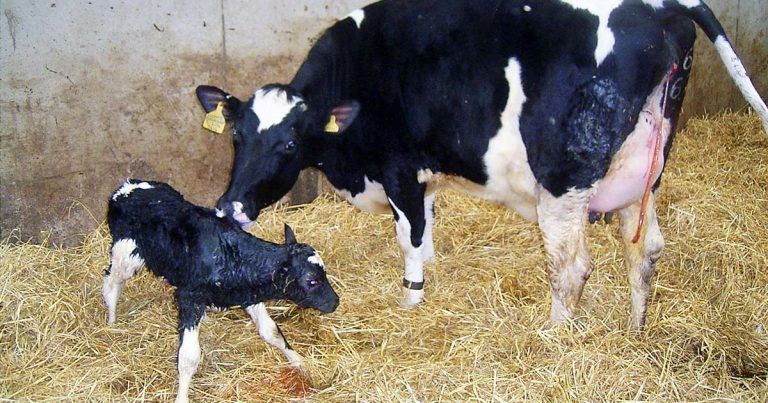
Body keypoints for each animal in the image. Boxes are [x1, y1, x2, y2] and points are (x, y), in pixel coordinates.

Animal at [102, 179, 339, 403]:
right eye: (311, 281)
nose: (335, 301)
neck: (229, 255)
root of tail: (128, 186)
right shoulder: (190, 297)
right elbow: (188, 356)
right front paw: (182, 397)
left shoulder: (248, 293)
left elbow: (272, 331)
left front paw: (302, 364)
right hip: (127, 251)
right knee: (111, 283)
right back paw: (111, 323)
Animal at [195, 0, 768, 330]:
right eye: (238, 136)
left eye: (288, 145)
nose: (230, 206)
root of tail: (659, 7)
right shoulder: (424, 177)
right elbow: (426, 233)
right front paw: (430, 278)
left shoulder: (400, 169)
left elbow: (409, 238)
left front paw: (411, 303)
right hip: (643, 171)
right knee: (644, 251)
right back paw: (635, 330)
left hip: (564, 181)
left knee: (571, 268)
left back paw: (553, 338)